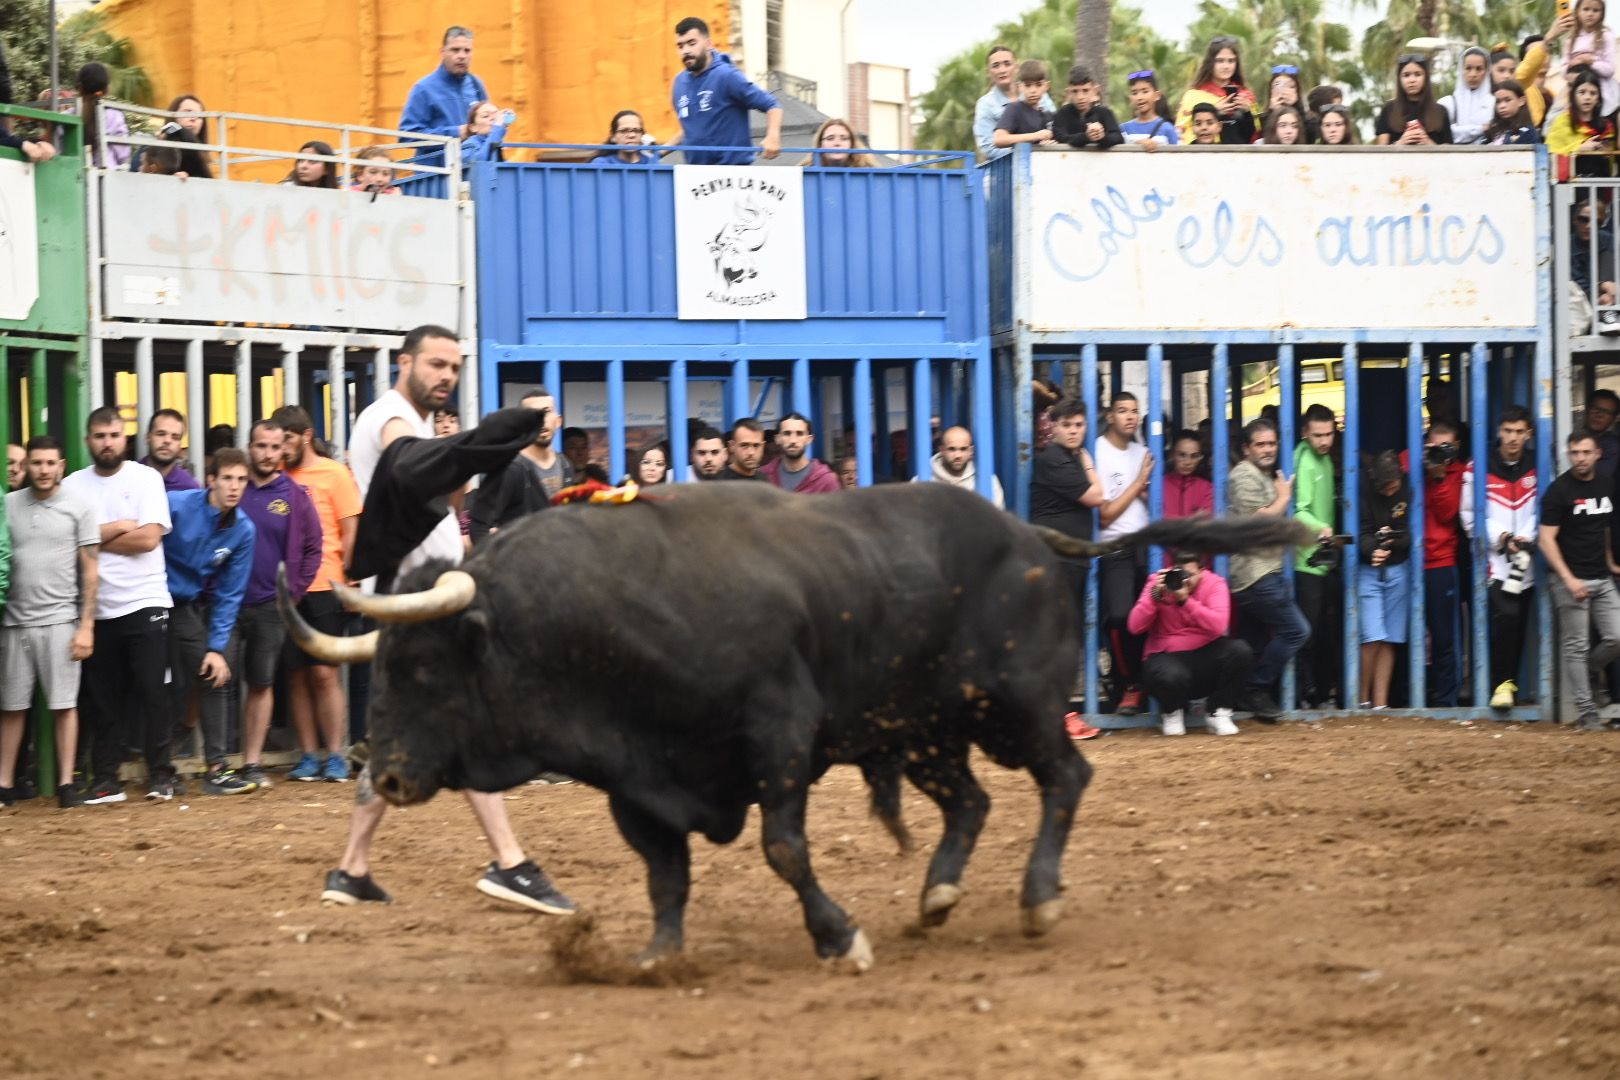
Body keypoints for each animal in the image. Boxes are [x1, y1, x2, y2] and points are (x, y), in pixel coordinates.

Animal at [281, 482, 1315, 971]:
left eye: (422, 667)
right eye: (383, 672)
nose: (387, 771)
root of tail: (1031, 534)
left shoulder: (778, 735)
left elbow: (783, 849)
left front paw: (836, 936)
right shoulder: (635, 784)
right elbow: (666, 875)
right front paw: (658, 957)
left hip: (1015, 708)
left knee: (1064, 780)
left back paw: (1038, 897)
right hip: (924, 732)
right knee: (969, 806)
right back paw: (938, 897)